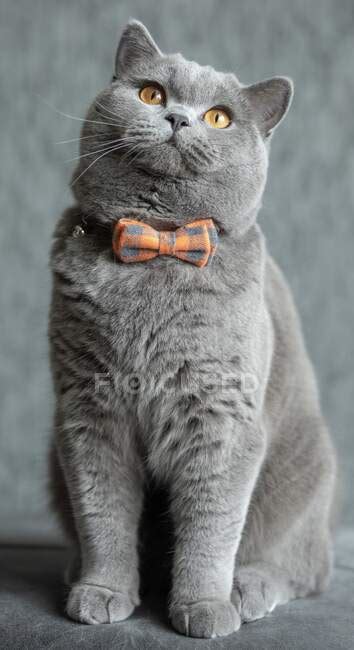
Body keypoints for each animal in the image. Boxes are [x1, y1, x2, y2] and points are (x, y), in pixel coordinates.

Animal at [48, 20, 336, 636]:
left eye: (220, 118)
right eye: (151, 92)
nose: (179, 117)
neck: (158, 242)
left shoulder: (221, 413)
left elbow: (211, 523)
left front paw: (204, 607)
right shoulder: (88, 410)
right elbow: (102, 509)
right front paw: (103, 591)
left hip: (305, 476)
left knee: (302, 566)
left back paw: (249, 589)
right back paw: (76, 571)